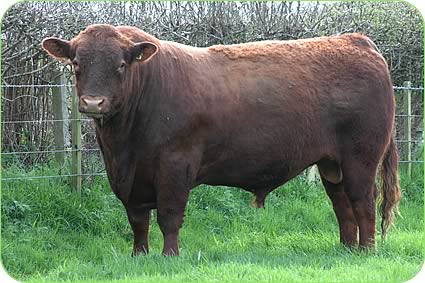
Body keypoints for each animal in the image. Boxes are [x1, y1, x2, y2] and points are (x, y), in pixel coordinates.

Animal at [41, 24, 400, 256]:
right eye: (76, 63)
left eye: (120, 65)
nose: (93, 103)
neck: (123, 145)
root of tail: (357, 41)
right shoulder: (130, 178)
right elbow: (138, 220)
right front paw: (139, 256)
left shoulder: (175, 165)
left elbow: (169, 215)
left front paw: (170, 257)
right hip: (331, 163)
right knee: (342, 204)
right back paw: (347, 248)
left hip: (361, 157)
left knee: (363, 202)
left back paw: (367, 251)